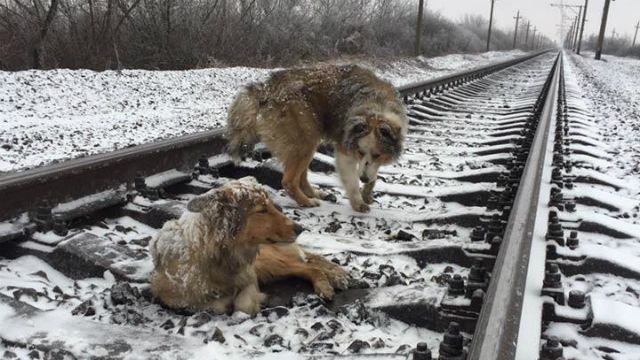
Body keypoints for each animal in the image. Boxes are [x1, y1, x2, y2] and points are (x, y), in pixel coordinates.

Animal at [149, 178, 350, 316]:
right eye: (262, 210)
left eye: (272, 206)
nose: (301, 228)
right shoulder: (171, 296)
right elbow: (214, 305)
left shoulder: (250, 276)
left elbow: (242, 305)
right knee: (308, 264)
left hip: (268, 262)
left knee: (310, 266)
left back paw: (328, 284)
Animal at [225, 64, 408, 212]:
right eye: (360, 152)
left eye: (378, 155)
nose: (362, 178)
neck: (377, 108)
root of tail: (266, 88)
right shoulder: (345, 149)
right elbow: (352, 180)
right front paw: (358, 201)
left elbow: (372, 173)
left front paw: (367, 192)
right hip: (305, 139)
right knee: (289, 181)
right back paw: (306, 201)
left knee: (302, 177)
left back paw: (316, 194)